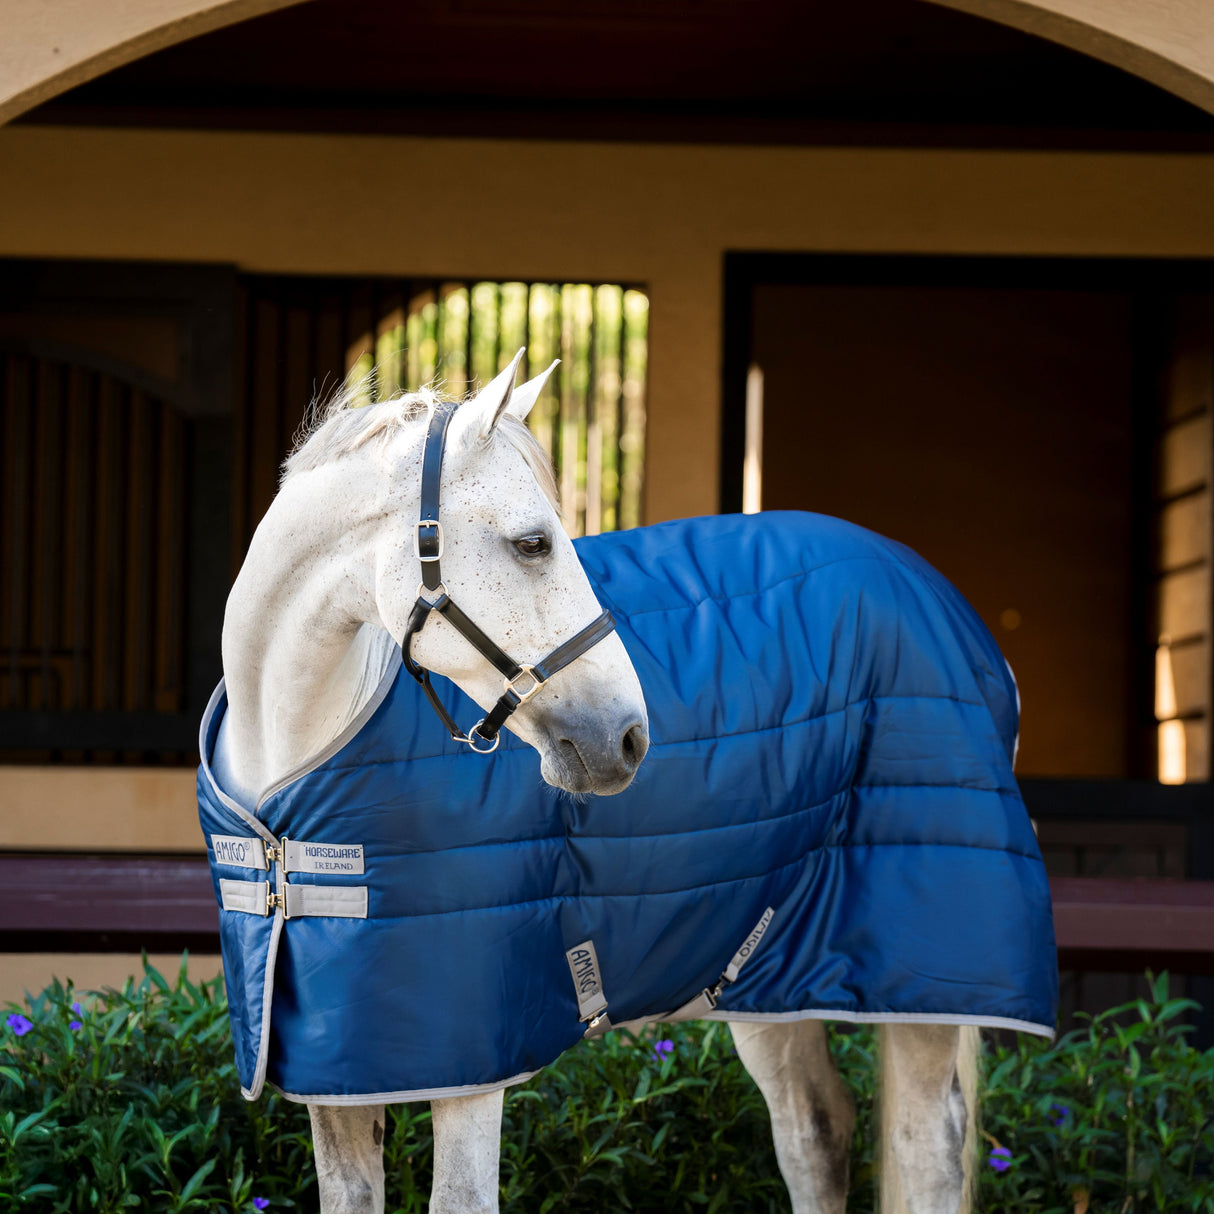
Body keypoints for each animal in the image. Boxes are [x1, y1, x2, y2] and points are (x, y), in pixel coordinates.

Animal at [201, 350, 1055, 1214]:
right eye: (534, 542)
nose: (628, 738)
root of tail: (945, 602)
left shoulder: (475, 1058)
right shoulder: (337, 1073)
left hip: (921, 984)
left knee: (927, 1150)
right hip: (769, 969)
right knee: (816, 1131)